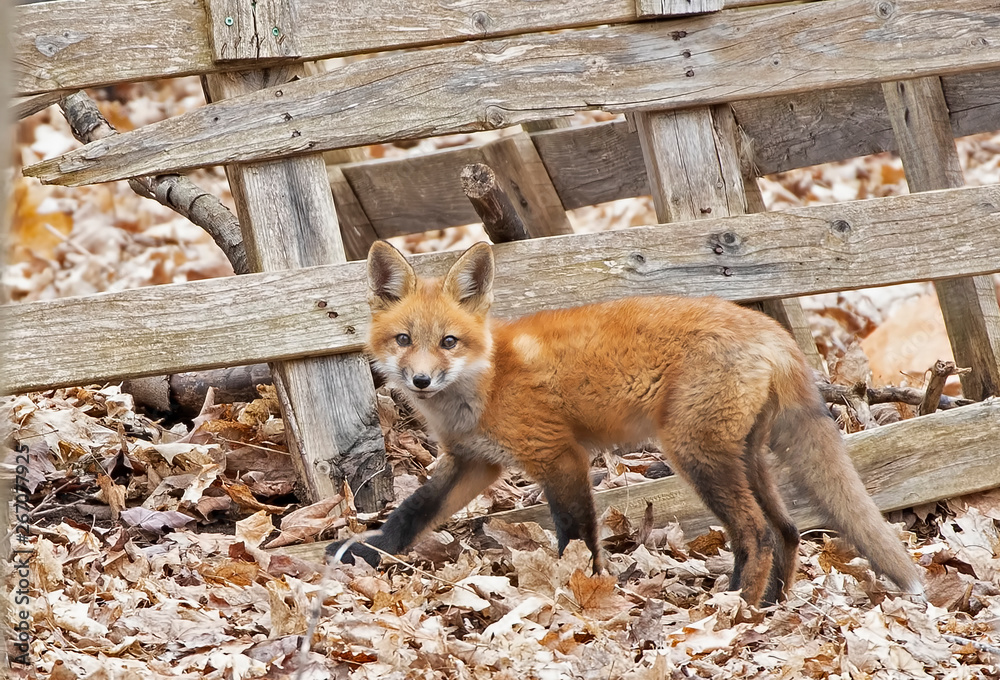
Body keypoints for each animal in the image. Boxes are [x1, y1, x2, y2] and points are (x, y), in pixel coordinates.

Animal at [327, 240, 923, 606]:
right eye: (404, 339)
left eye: (449, 341)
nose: (421, 380)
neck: (487, 380)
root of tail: (773, 332)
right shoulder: (473, 462)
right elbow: (412, 512)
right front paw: (366, 552)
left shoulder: (559, 456)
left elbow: (575, 534)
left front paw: (576, 588)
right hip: (745, 456)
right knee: (787, 530)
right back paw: (769, 607)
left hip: (694, 454)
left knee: (755, 534)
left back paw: (732, 608)